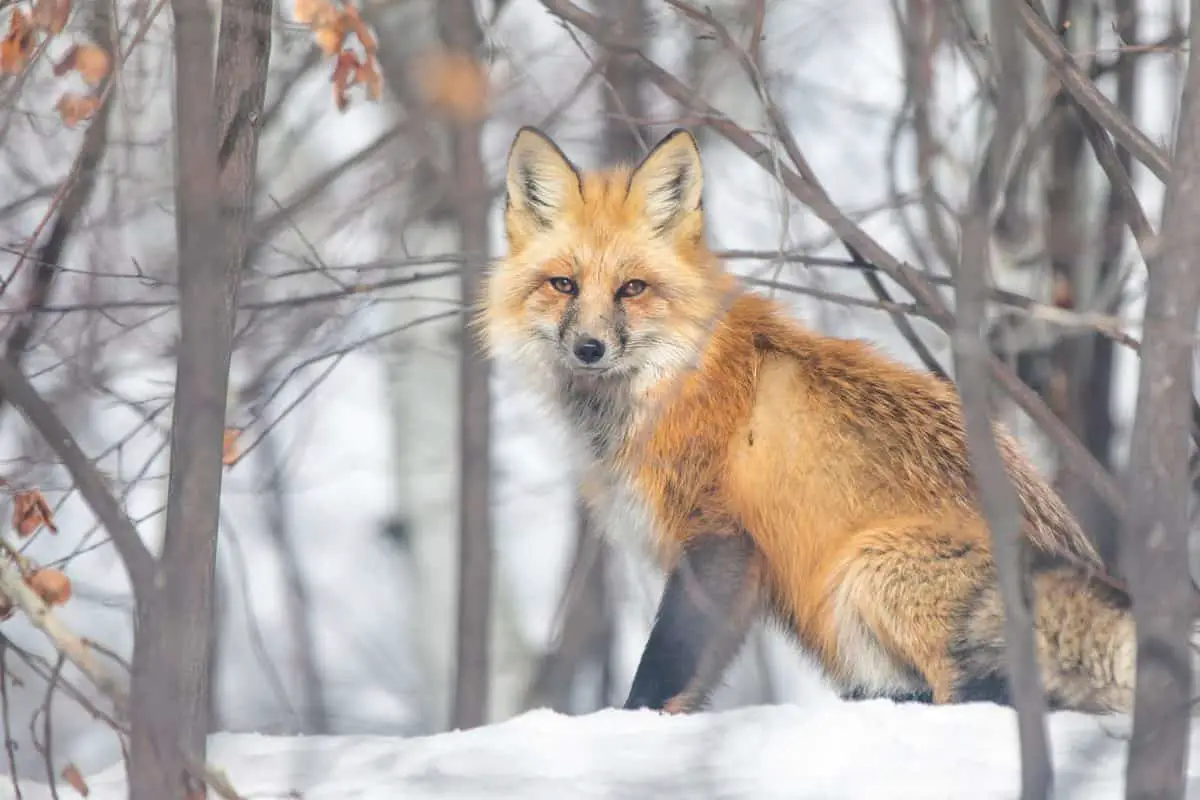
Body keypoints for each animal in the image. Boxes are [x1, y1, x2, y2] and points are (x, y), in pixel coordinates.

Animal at [479, 124, 1146, 716]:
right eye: (563, 285)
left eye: (632, 289)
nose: (589, 348)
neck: (670, 381)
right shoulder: (741, 576)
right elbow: (693, 682)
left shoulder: (719, 536)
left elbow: (663, 667)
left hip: (868, 569)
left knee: (983, 696)